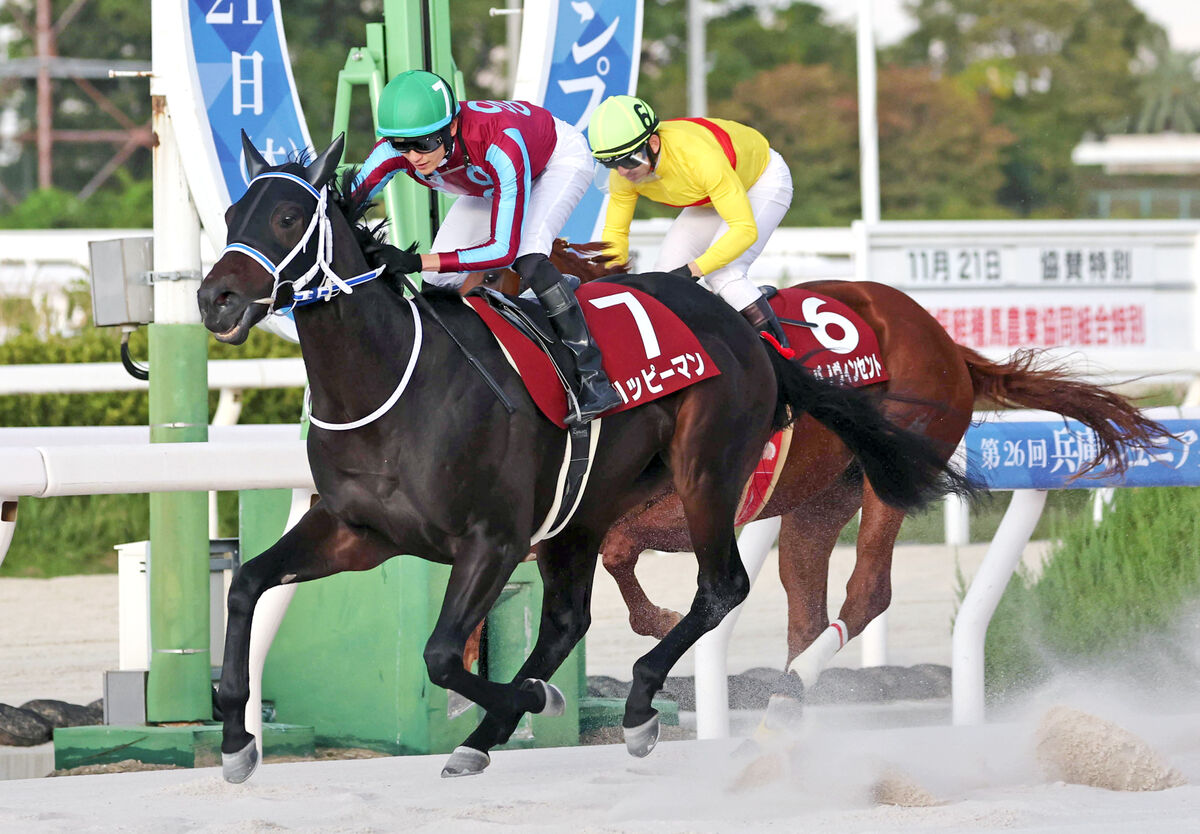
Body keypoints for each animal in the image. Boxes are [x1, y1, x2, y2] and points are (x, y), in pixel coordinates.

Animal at [196, 135, 964, 782]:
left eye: (289, 216)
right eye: (232, 212)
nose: (216, 298)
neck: (395, 385)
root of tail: (745, 330)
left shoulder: (494, 540)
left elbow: (441, 653)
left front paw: (533, 702)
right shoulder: (360, 532)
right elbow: (246, 586)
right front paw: (236, 740)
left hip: (707, 475)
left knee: (724, 588)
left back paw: (637, 706)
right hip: (590, 510)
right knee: (573, 619)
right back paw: (491, 734)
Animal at [465, 237, 1171, 696]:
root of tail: (942, 337)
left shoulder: (678, 508)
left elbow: (617, 553)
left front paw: (658, 621)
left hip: (888, 474)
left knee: (868, 591)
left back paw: (797, 684)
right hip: (819, 499)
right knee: (806, 604)